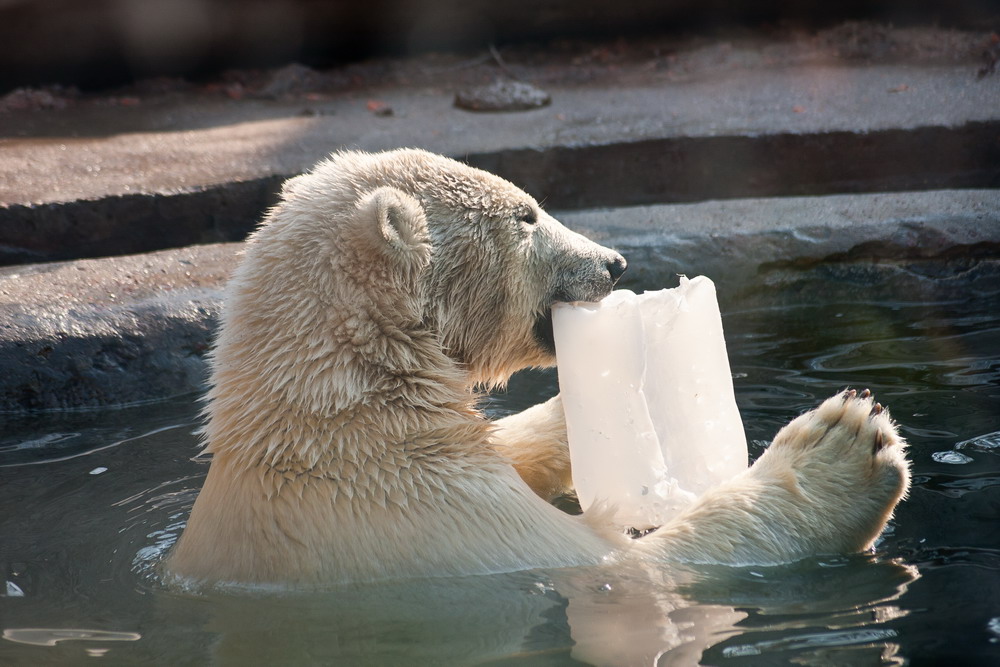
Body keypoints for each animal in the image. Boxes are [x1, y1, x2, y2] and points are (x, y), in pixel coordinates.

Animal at [168, 149, 912, 588]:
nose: (613, 262)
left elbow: (510, 446)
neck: (344, 418)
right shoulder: (431, 517)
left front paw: (582, 408)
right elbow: (637, 562)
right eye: (527, 215)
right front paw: (846, 444)